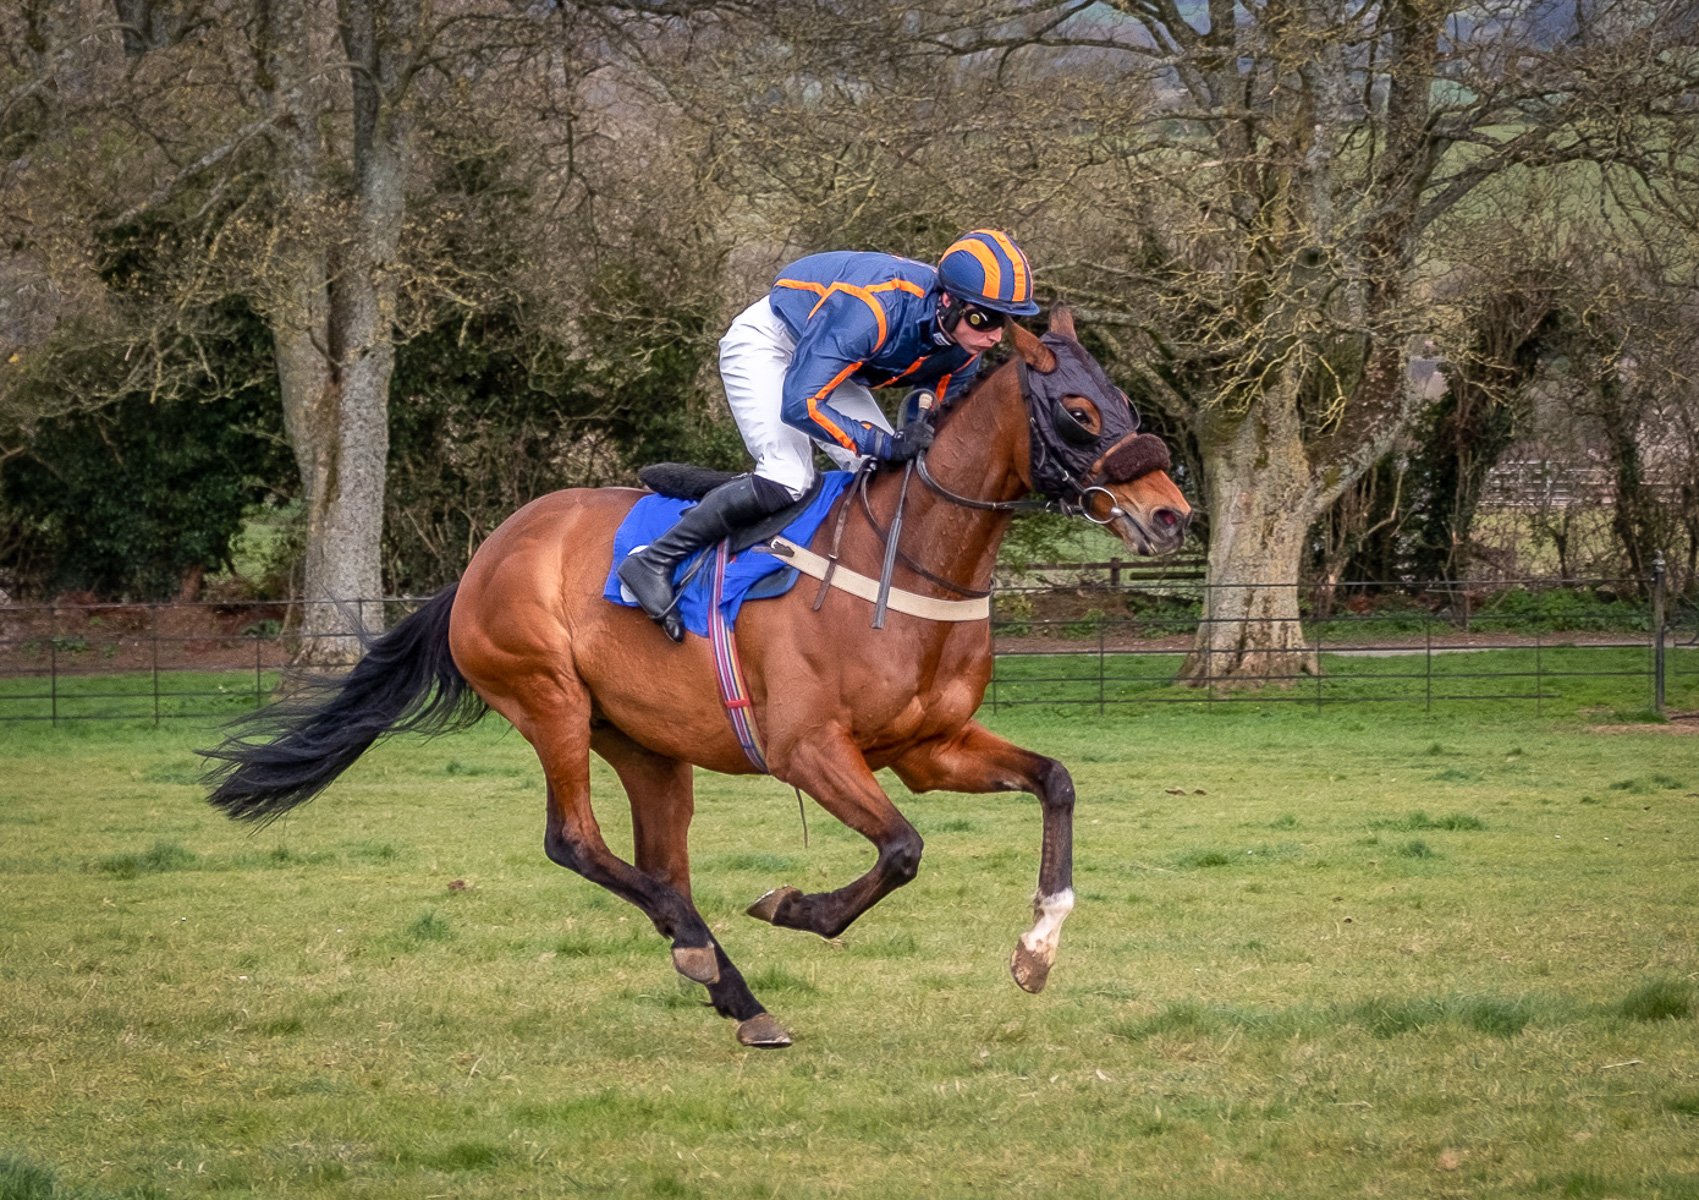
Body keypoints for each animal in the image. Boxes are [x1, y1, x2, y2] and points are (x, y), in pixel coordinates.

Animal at [202, 304, 1196, 1040]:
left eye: (1123, 400)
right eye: (1076, 412)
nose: (1170, 516)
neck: (909, 558)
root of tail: (484, 559)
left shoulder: (930, 746)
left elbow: (1055, 782)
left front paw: (1036, 949)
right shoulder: (809, 750)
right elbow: (903, 850)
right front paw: (795, 907)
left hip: (647, 745)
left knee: (657, 866)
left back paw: (731, 989)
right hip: (549, 702)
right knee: (575, 843)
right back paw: (706, 957)